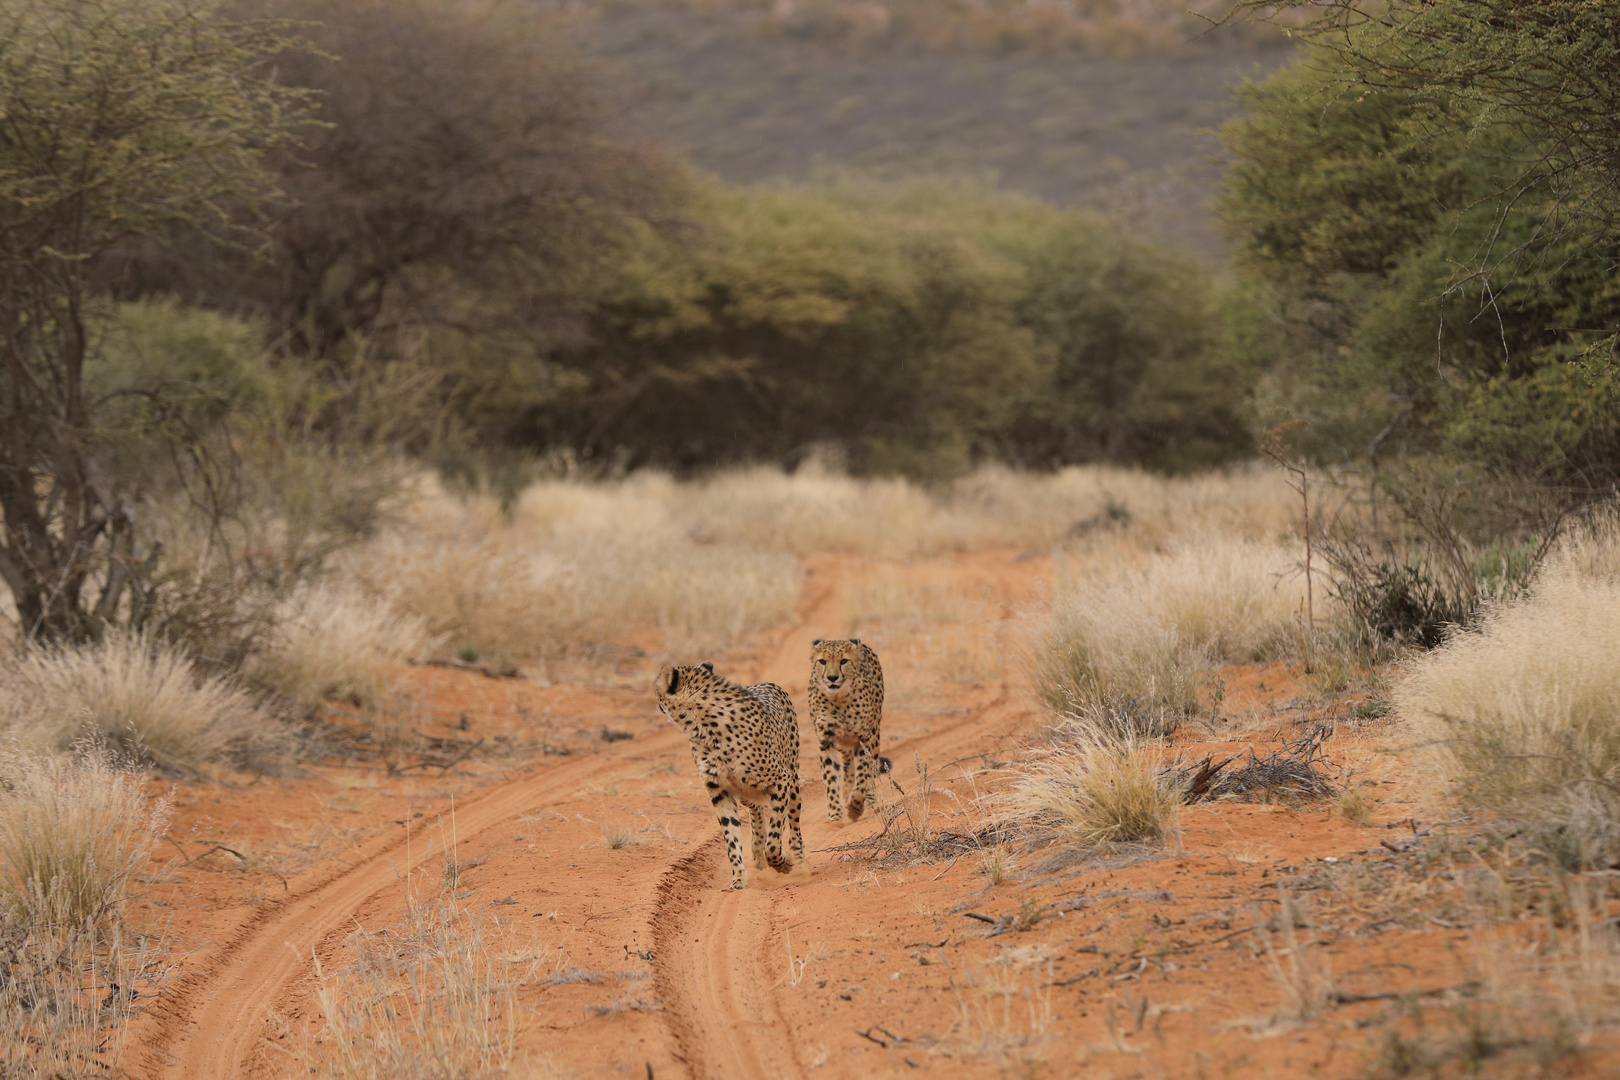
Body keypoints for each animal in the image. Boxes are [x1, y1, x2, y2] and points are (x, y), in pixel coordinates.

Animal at [651, 663, 803, 893]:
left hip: (792, 779)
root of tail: (766, 683)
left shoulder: (780, 781)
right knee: (756, 809)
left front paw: (784, 862)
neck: (702, 726)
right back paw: (757, 850)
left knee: (794, 822)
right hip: (746, 791)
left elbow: (775, 839)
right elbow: (731, 838)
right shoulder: (719, 791)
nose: (656, 703)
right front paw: (738, 879)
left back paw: (800, 861)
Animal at [806, 637, 887, 822]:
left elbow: (863, 774)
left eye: (843, 661)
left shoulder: (863, 738)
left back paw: (870, 801)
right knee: (847, 763)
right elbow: (830, 778)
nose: (832, 677)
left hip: (874, 734)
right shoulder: (825, 741)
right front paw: (835, 815)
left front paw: (855, 807)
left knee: (870, 771)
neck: (838, 700)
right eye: (822, 661)